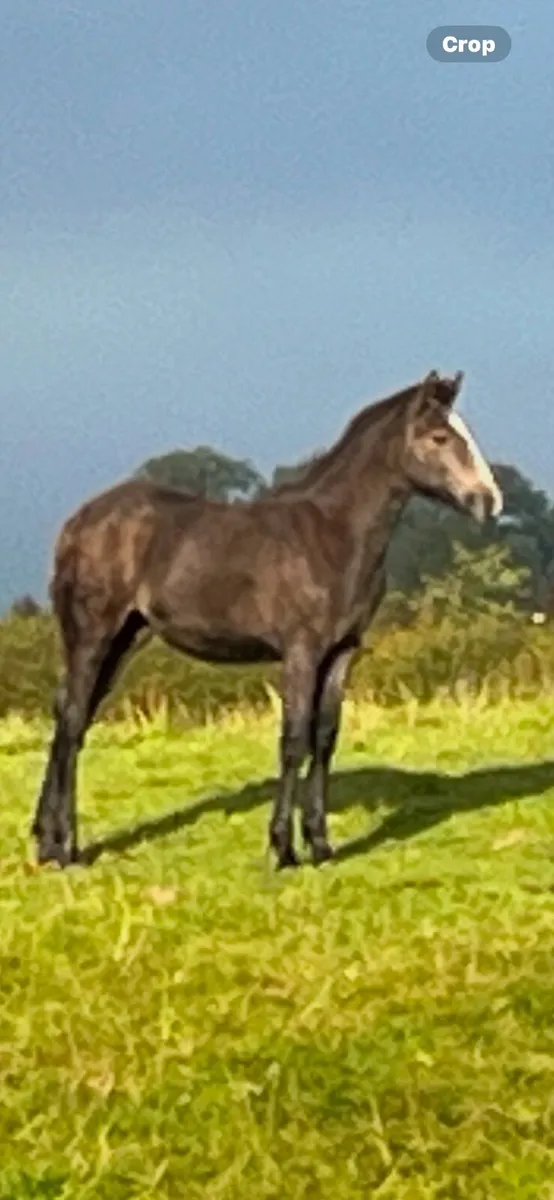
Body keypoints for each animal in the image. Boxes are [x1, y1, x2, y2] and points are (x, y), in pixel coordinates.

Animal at [31, 369, 503, 871]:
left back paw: (49, 840)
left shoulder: (342, 652)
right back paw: (65, 847)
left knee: (72, 717)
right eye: (439, 437)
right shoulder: (300, 651)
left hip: (125, 638)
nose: (489, 501)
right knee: (72, 720)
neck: (332, 535)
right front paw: (283, 849)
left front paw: (320, 844)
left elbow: (324, 737)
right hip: (92, 634)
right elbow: (293, 739)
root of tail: (77, 523)